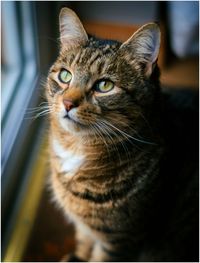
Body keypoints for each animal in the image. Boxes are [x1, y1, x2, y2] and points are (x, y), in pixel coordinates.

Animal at [46, 7, 198, 262]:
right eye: (65, 76)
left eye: (105, 86)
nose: (67, 103)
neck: (78, 148)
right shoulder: (85, 230)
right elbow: (83, 245)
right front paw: (77, 255)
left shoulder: (120, 242)